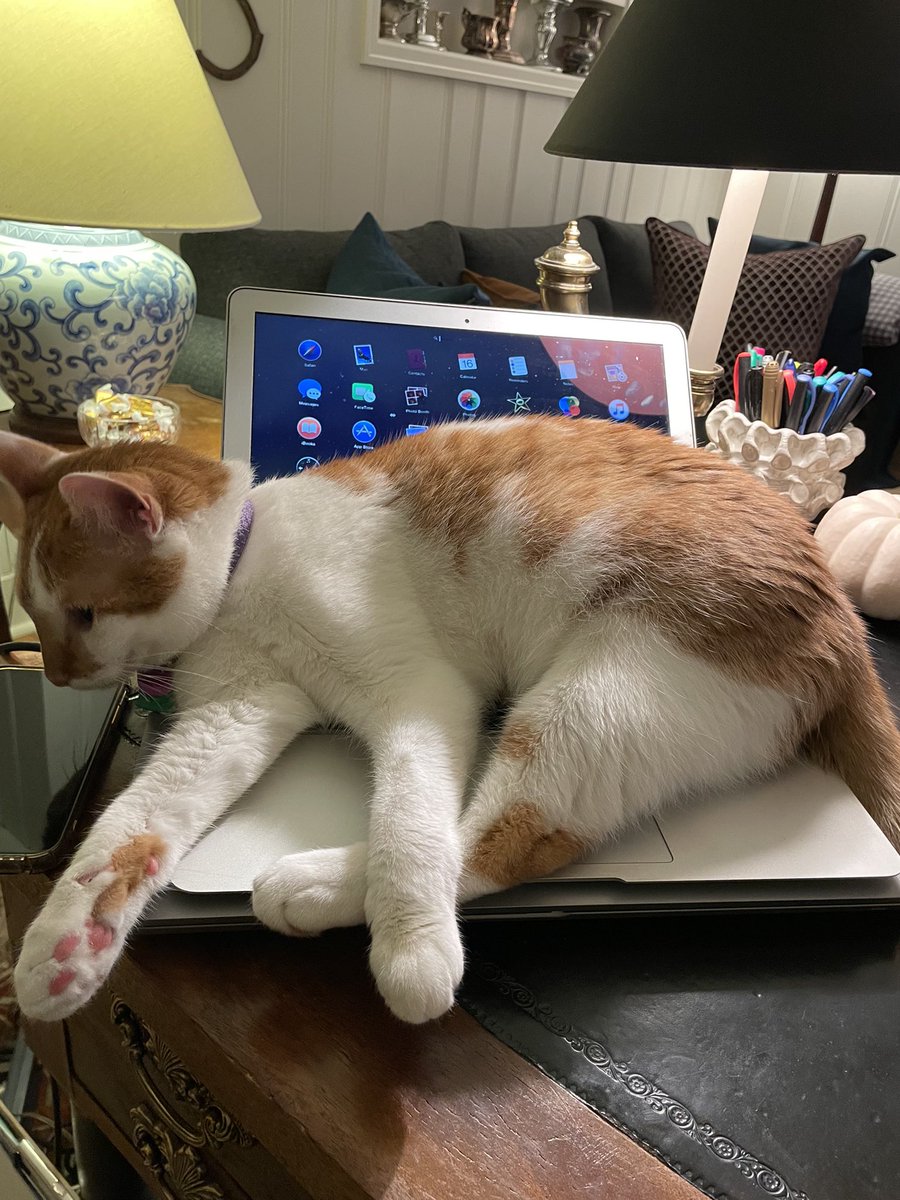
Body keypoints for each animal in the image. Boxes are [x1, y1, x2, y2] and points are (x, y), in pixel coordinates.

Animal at [1, 420, 900, 1022]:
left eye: (83, 613)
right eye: (37, 615)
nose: (57, 672)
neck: (243, 570)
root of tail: (846, 627)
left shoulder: (419, 694)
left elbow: (409, 821)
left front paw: (412, 953)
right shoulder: (235, 711)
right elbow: (130, 825)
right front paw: (66, 943)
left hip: (593, 702)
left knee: (497, 840)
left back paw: (317, 886)